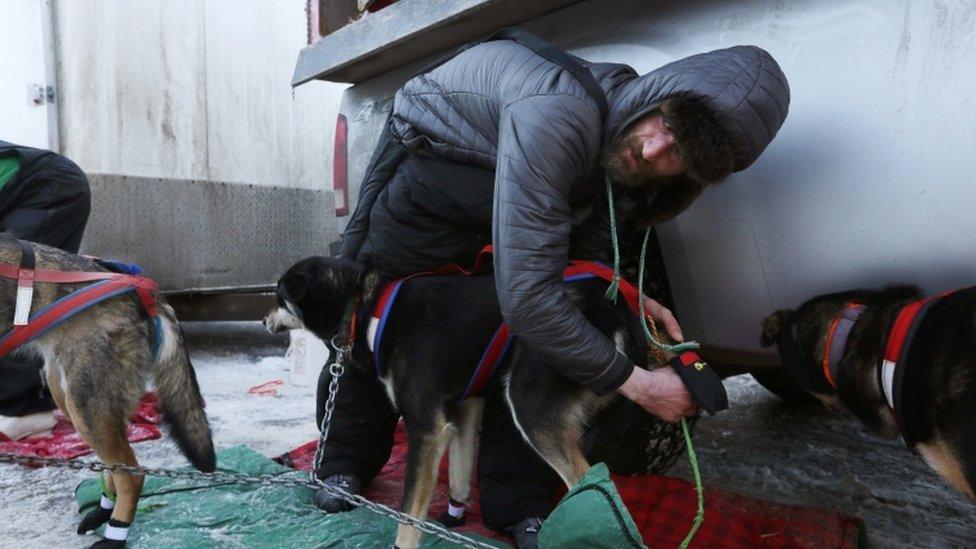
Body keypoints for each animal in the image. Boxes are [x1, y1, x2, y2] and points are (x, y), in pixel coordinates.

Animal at [266, 256, 672, 548]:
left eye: (279, 297)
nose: (264, 318)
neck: (367, 307)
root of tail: (614, 312)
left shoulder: (425, 427)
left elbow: (408, 511)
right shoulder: (464, 406)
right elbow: (460, 469)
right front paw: (455, 515)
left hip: (528, 405)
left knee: (590, 481)